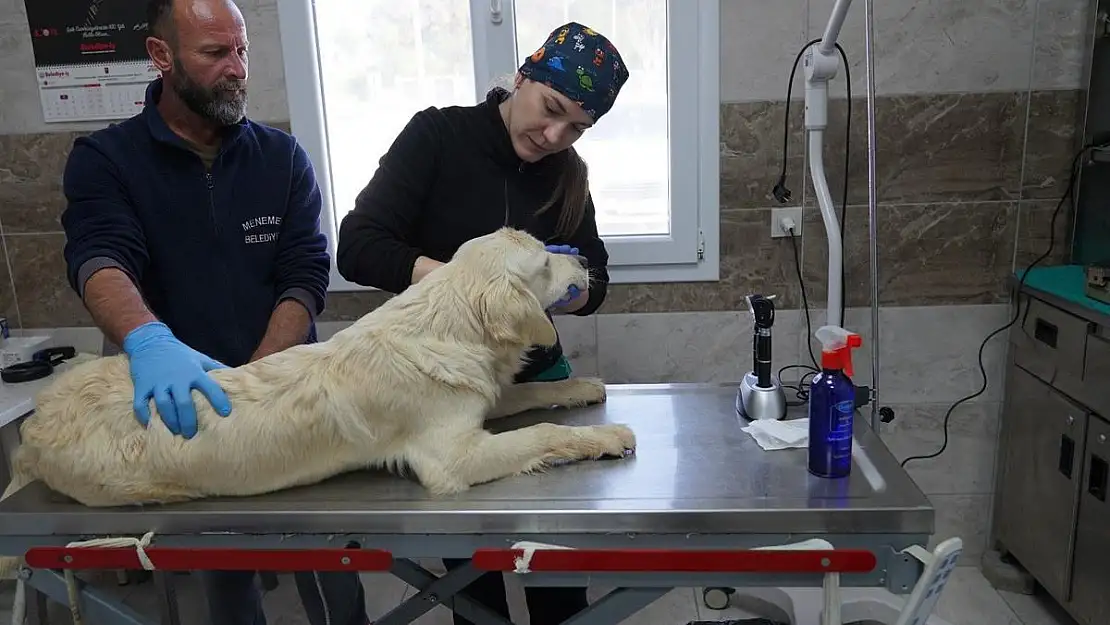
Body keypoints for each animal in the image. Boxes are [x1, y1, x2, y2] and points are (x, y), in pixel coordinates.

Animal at [0, 227, 639, 515]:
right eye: (546, 261)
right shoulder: (451, 457)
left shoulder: (478, 397)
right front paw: (609, 434)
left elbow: (528, 394)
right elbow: (542, 433)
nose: (585, 257)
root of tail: (34, 426)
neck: (448, 320)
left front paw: (581, 387)